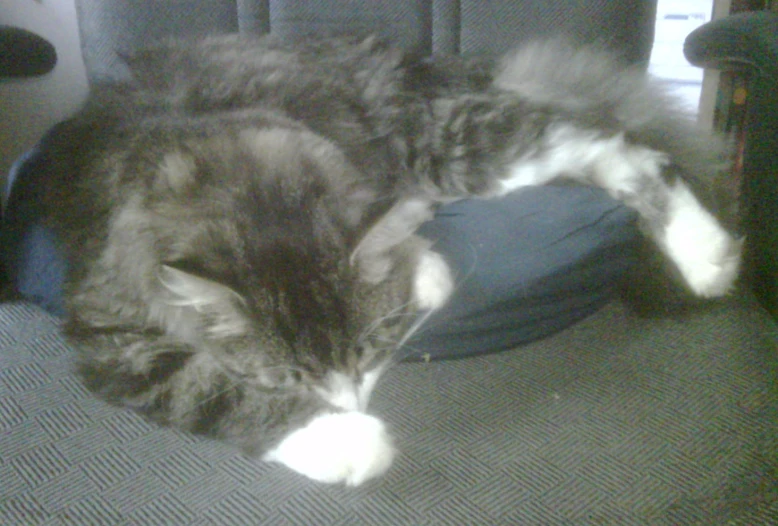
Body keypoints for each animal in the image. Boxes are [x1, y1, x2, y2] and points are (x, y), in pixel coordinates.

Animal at [34, 34, 740, 486]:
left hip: (445, 143)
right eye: (285, 377)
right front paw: (346, 439)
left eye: (364, 352)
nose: (347, 402)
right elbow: (210, 390)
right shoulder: (110, 331)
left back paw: (707, 257)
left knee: (618, 145)